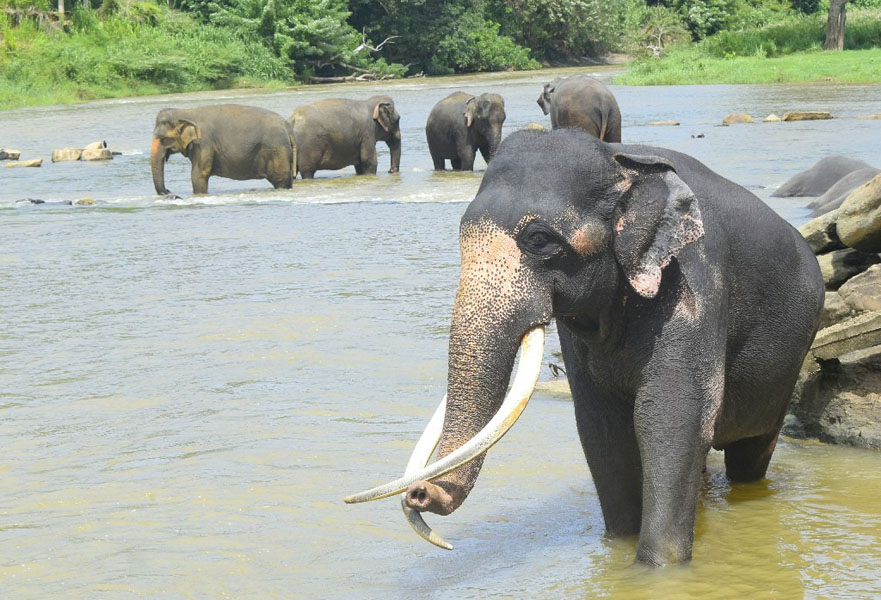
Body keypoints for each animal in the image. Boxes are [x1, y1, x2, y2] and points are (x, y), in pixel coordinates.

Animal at [151, 104, 296, 196]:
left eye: (163, 138)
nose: (170, 192)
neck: (186, 111)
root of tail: (288, 127)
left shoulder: (203, 143)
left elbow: (198, 175)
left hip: (277, 150)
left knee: (280, 180)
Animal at [347, 129, 824, 566]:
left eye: (539, 240)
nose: (419, 493)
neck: (619, 159)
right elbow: (600, 428)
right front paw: (619, 546)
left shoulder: (696, 282)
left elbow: (671, 417)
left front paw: (658, 569)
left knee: (752, 453)